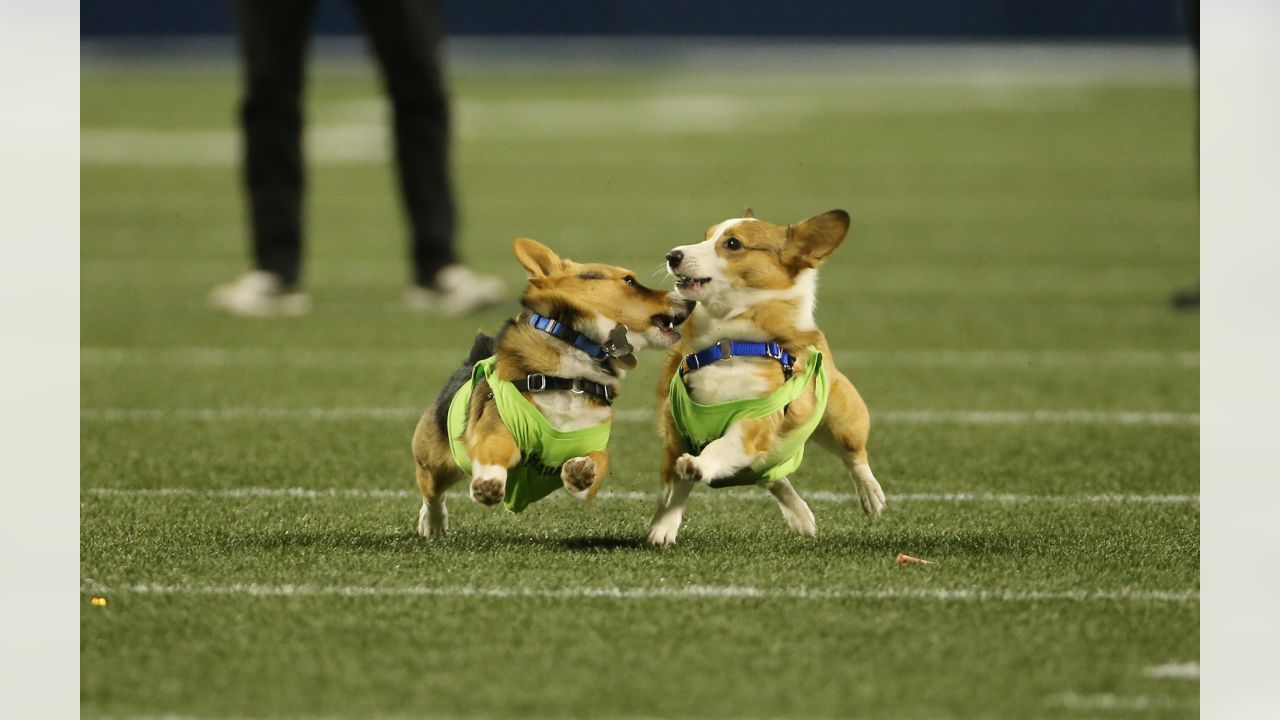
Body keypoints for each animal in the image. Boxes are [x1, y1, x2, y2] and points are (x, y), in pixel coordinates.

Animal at [409, 238, 691, 535]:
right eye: (629, 280)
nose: (689, 301)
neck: (575, 357)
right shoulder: (494, 426)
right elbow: (496, 447)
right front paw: (488, 483)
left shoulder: (591, 438)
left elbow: (598, 461)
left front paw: (580, 472)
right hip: (435, 459)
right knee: (431, 490)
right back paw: (433, 523)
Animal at [650, 207, 880, 543]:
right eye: (706, 236)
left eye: (732, 243)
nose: (672, 255)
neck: (728, 345)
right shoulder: (676, 429)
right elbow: (674, 485)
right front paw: (662, 527)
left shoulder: (754, 422)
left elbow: (721, 447)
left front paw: (699, 464)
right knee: (771, 475)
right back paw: (801, 517)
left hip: (840, 419)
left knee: (854, 454)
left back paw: (871, 496)